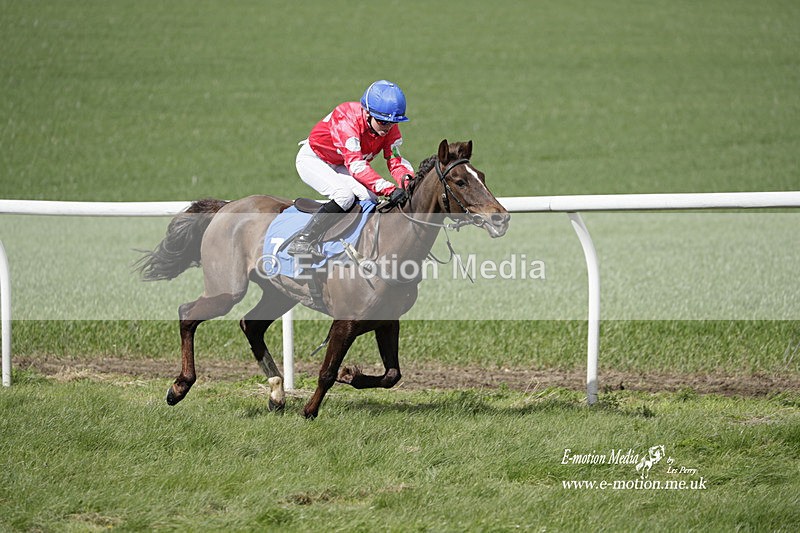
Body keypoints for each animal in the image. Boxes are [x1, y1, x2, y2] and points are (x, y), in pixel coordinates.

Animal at [136, 139, 510, 418]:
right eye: (460, 181)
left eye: (482, 175)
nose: (501, 218)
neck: (387, 246)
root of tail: (228, 206)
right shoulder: (345, 321)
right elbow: (327, 371)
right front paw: (310, 410)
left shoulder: (388, 321)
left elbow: (392, 375)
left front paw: (351, 374)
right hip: (227, 287)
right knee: (188, 313)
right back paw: (179, 386)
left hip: (278, 292)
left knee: (250, 325)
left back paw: (276, 393)